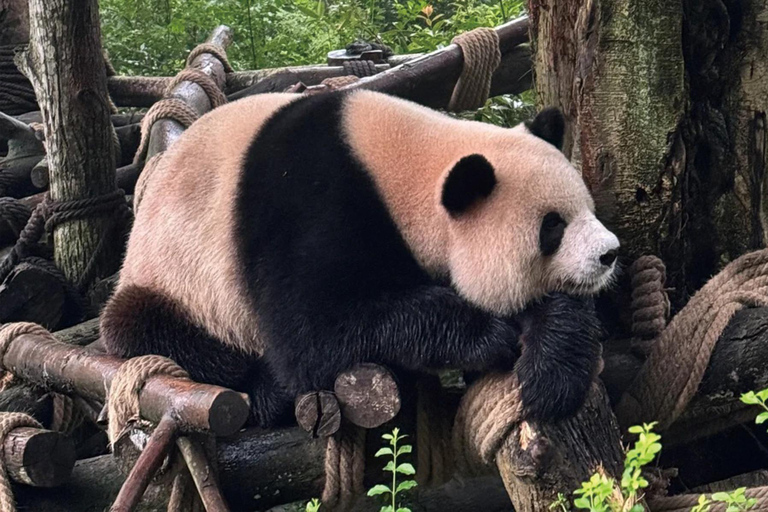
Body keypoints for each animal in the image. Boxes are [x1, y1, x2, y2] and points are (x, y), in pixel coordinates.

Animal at [100, 90, 620, 427]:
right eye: (552, 227)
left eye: (586, 209)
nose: (609, 254)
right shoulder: (311, 203)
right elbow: (313, 330)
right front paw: (487, 334)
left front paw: (551, 372)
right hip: (174, 278)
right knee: (158, 331)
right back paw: (268, 391)